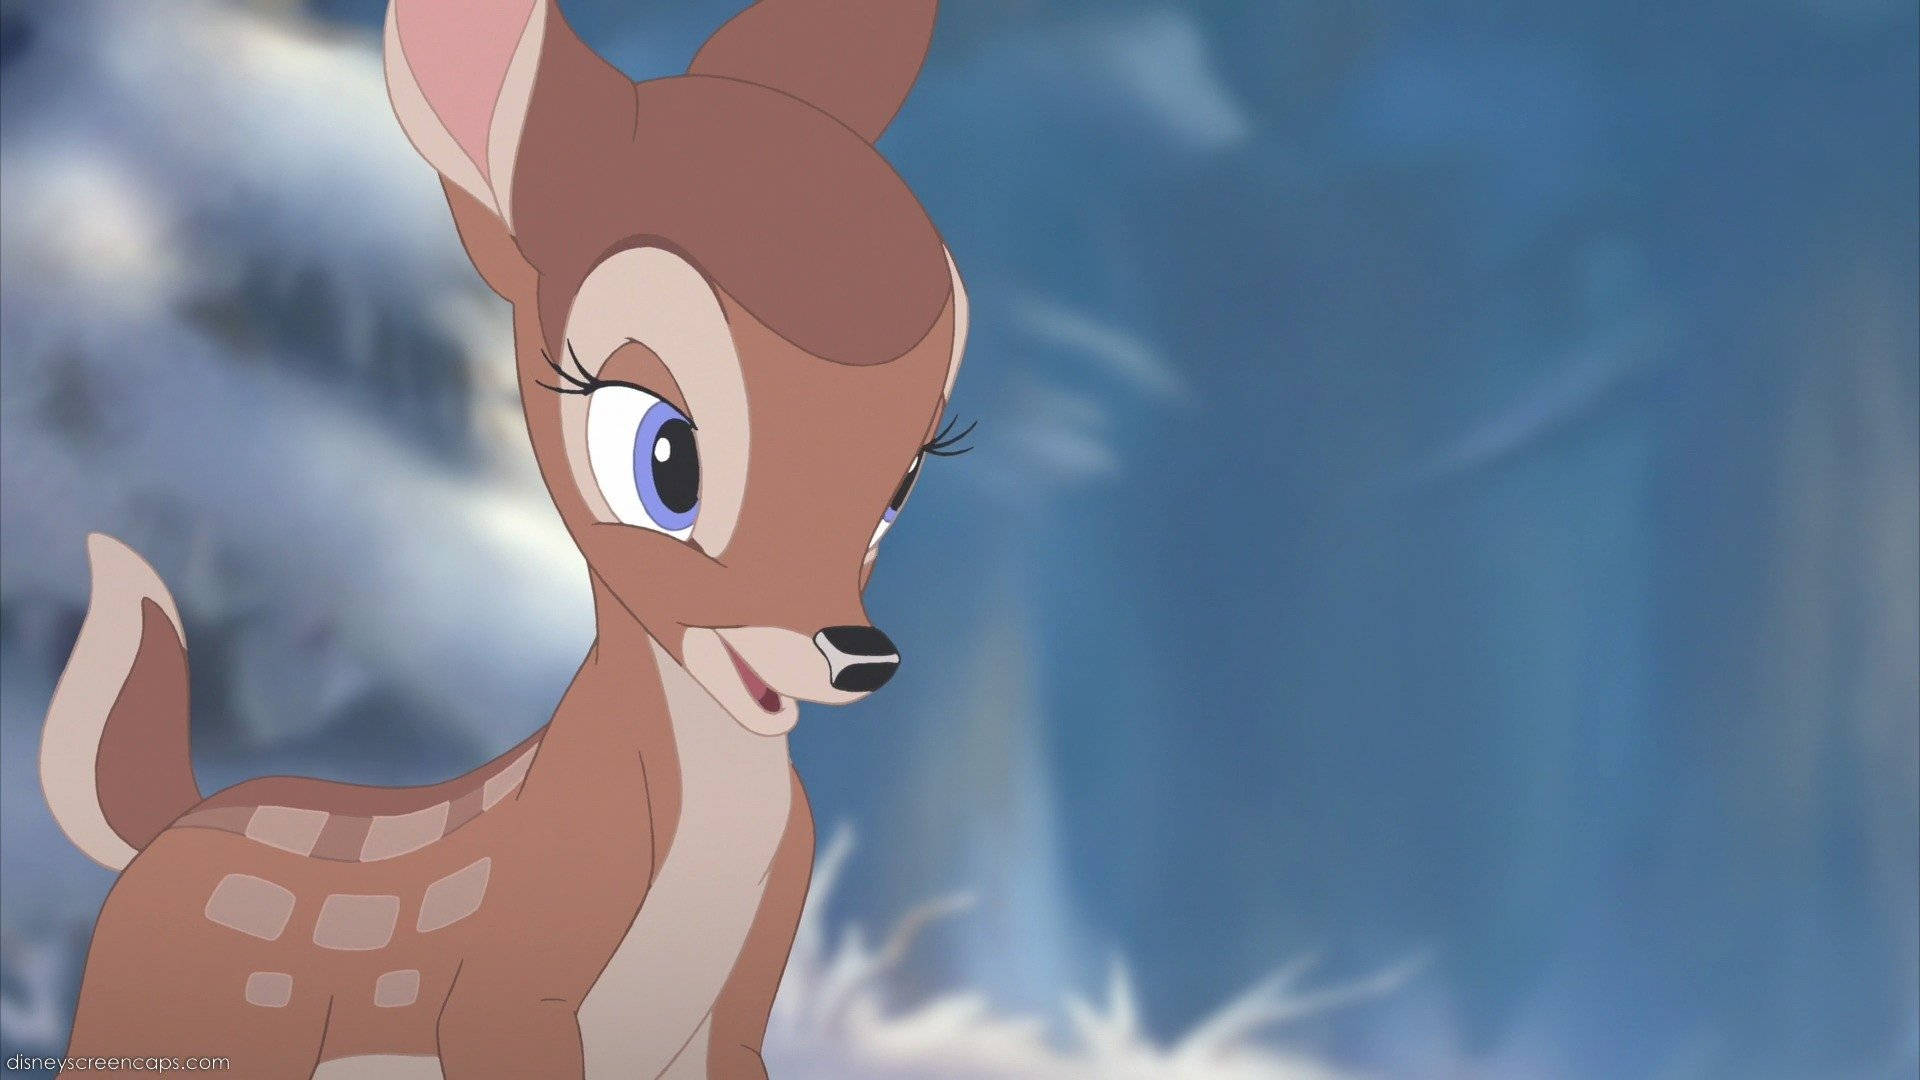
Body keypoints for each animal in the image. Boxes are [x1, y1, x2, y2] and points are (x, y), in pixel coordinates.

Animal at [37, 1, 970, 1076]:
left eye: (903, 483)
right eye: (666, 459)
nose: (861, 656)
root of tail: (167, 822)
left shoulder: (734, 1019)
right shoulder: (503, 999)